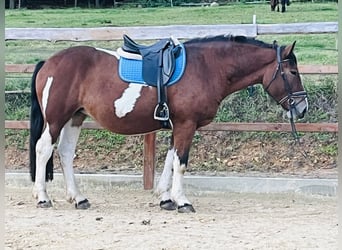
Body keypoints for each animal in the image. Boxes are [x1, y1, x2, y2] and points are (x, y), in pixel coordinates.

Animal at [29, 33, 308, 213]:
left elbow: (170, 160)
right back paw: (42, 197)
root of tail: (49, 62)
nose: (303, 108)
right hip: (56, 119)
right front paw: (182, 201)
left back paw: (78, 198)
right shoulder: (186, 124)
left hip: (75, 117)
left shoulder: (178, 125)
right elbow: (180, 163)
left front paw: (164, 198)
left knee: (65, 152)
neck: (206, 68)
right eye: (293, 72)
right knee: (43, 149)